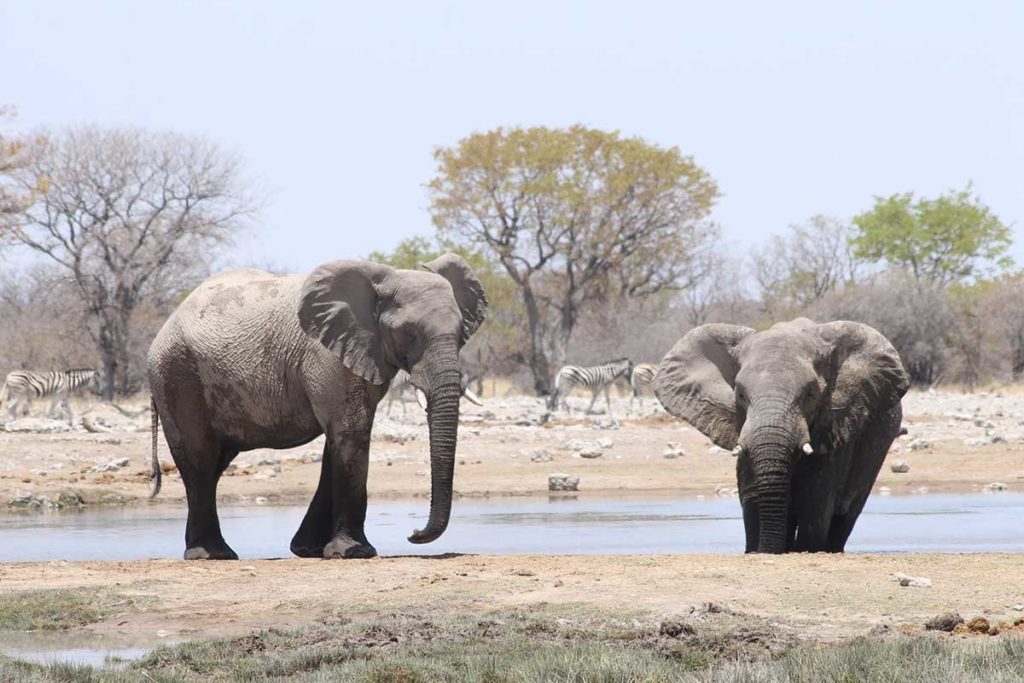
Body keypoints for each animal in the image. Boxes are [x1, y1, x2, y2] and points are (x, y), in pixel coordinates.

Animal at [145, 253, 491, 557]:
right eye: (409, 333)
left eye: (461, 334)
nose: (414, 534)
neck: (382, 281)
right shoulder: (326, 354)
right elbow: (352, 433)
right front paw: (355, 553)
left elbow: (338, 441)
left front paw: (309, 550)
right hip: (176, 374)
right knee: (199, 458)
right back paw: (212, 554)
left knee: (214, 463)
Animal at [651, 321, 909, 557]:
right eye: (740, 394)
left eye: (810, 394)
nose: (767, 551)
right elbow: (753, 497)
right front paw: (756, 550)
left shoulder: (835, 426)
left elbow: (816, 504)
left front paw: (804, 549)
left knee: (847, 512)